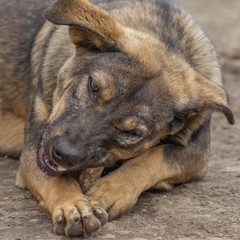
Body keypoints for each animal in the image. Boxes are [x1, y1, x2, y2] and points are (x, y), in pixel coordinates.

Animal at [0, 0, 234, 236]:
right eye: (93, 86)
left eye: (132, 132)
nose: (63, 154)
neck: (164, 32)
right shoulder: (35, 144)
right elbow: (58, 180)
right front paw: (74, 206)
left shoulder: (198, 151)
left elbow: (154, 157)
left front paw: (109, 190)